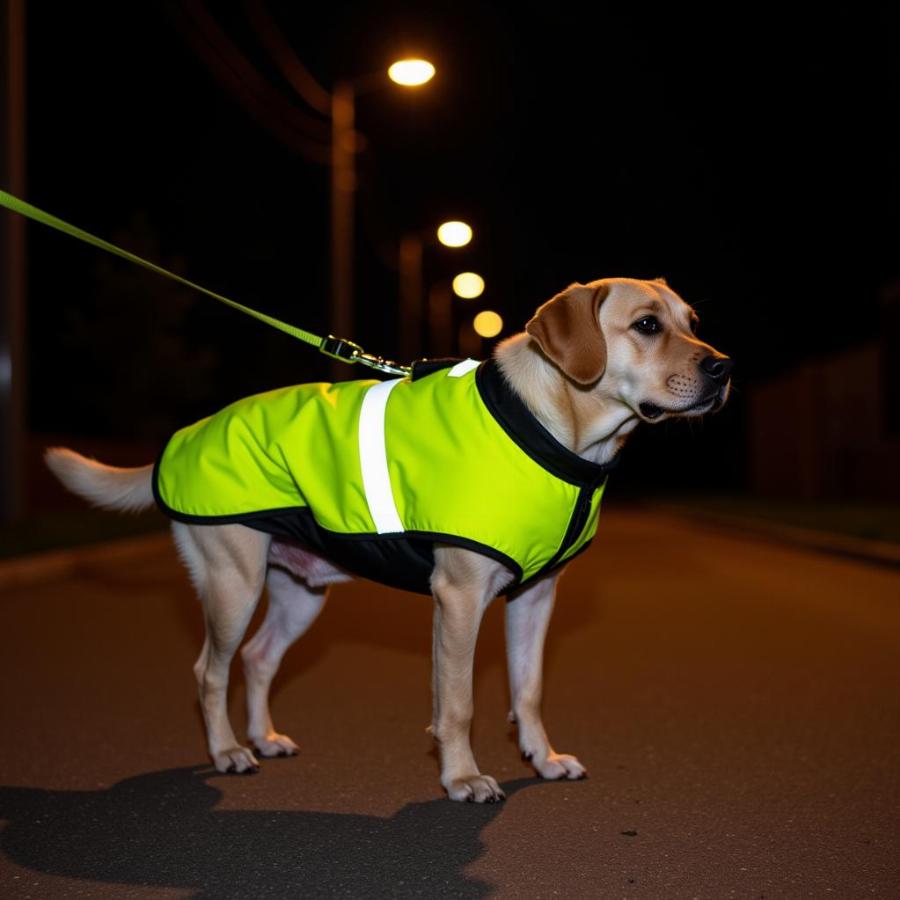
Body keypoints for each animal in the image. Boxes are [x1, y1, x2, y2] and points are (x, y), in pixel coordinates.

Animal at [45, 278, 732, 804]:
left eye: (693, 322)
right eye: (646, 325)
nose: (723, 366)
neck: (560, 430)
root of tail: (186, 437)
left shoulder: (536, 598)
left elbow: (529, 689)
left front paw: (542, 758)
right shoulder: (458, 598)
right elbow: (457, 703)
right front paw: (462, 778)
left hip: (300, 592)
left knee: (259, 659)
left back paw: (263, 737)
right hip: (232, 585)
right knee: (209, 671)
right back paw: (228, 751)